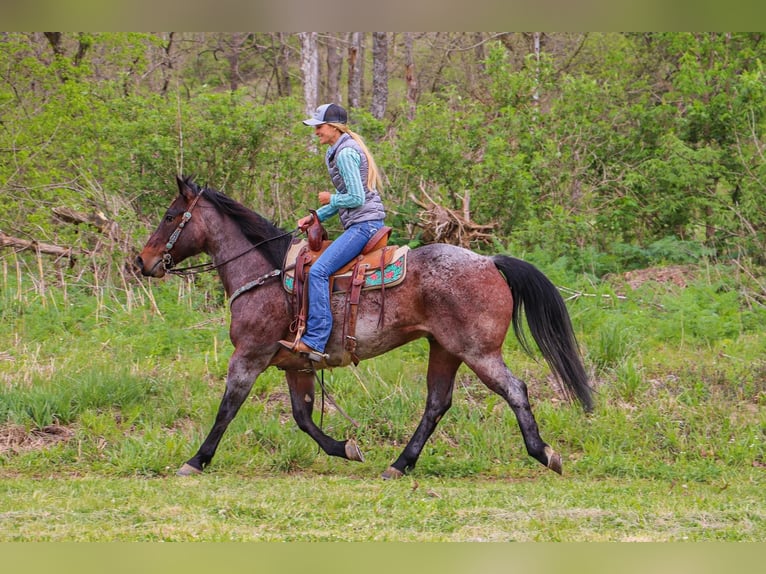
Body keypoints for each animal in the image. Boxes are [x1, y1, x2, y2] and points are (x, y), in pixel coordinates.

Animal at [138, 177, 592, 482]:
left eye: (169, 216)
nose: (142, 261)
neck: (264, 273)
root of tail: (489, 261)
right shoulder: (295, 365)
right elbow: (303, 418)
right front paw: (346, 449)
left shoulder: (248, 356)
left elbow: (227, 409)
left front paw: (196, 460)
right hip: (445, 349)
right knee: (436, 404)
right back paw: (400, 464)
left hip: (478, 352)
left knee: (514, 390)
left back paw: (544, 453)